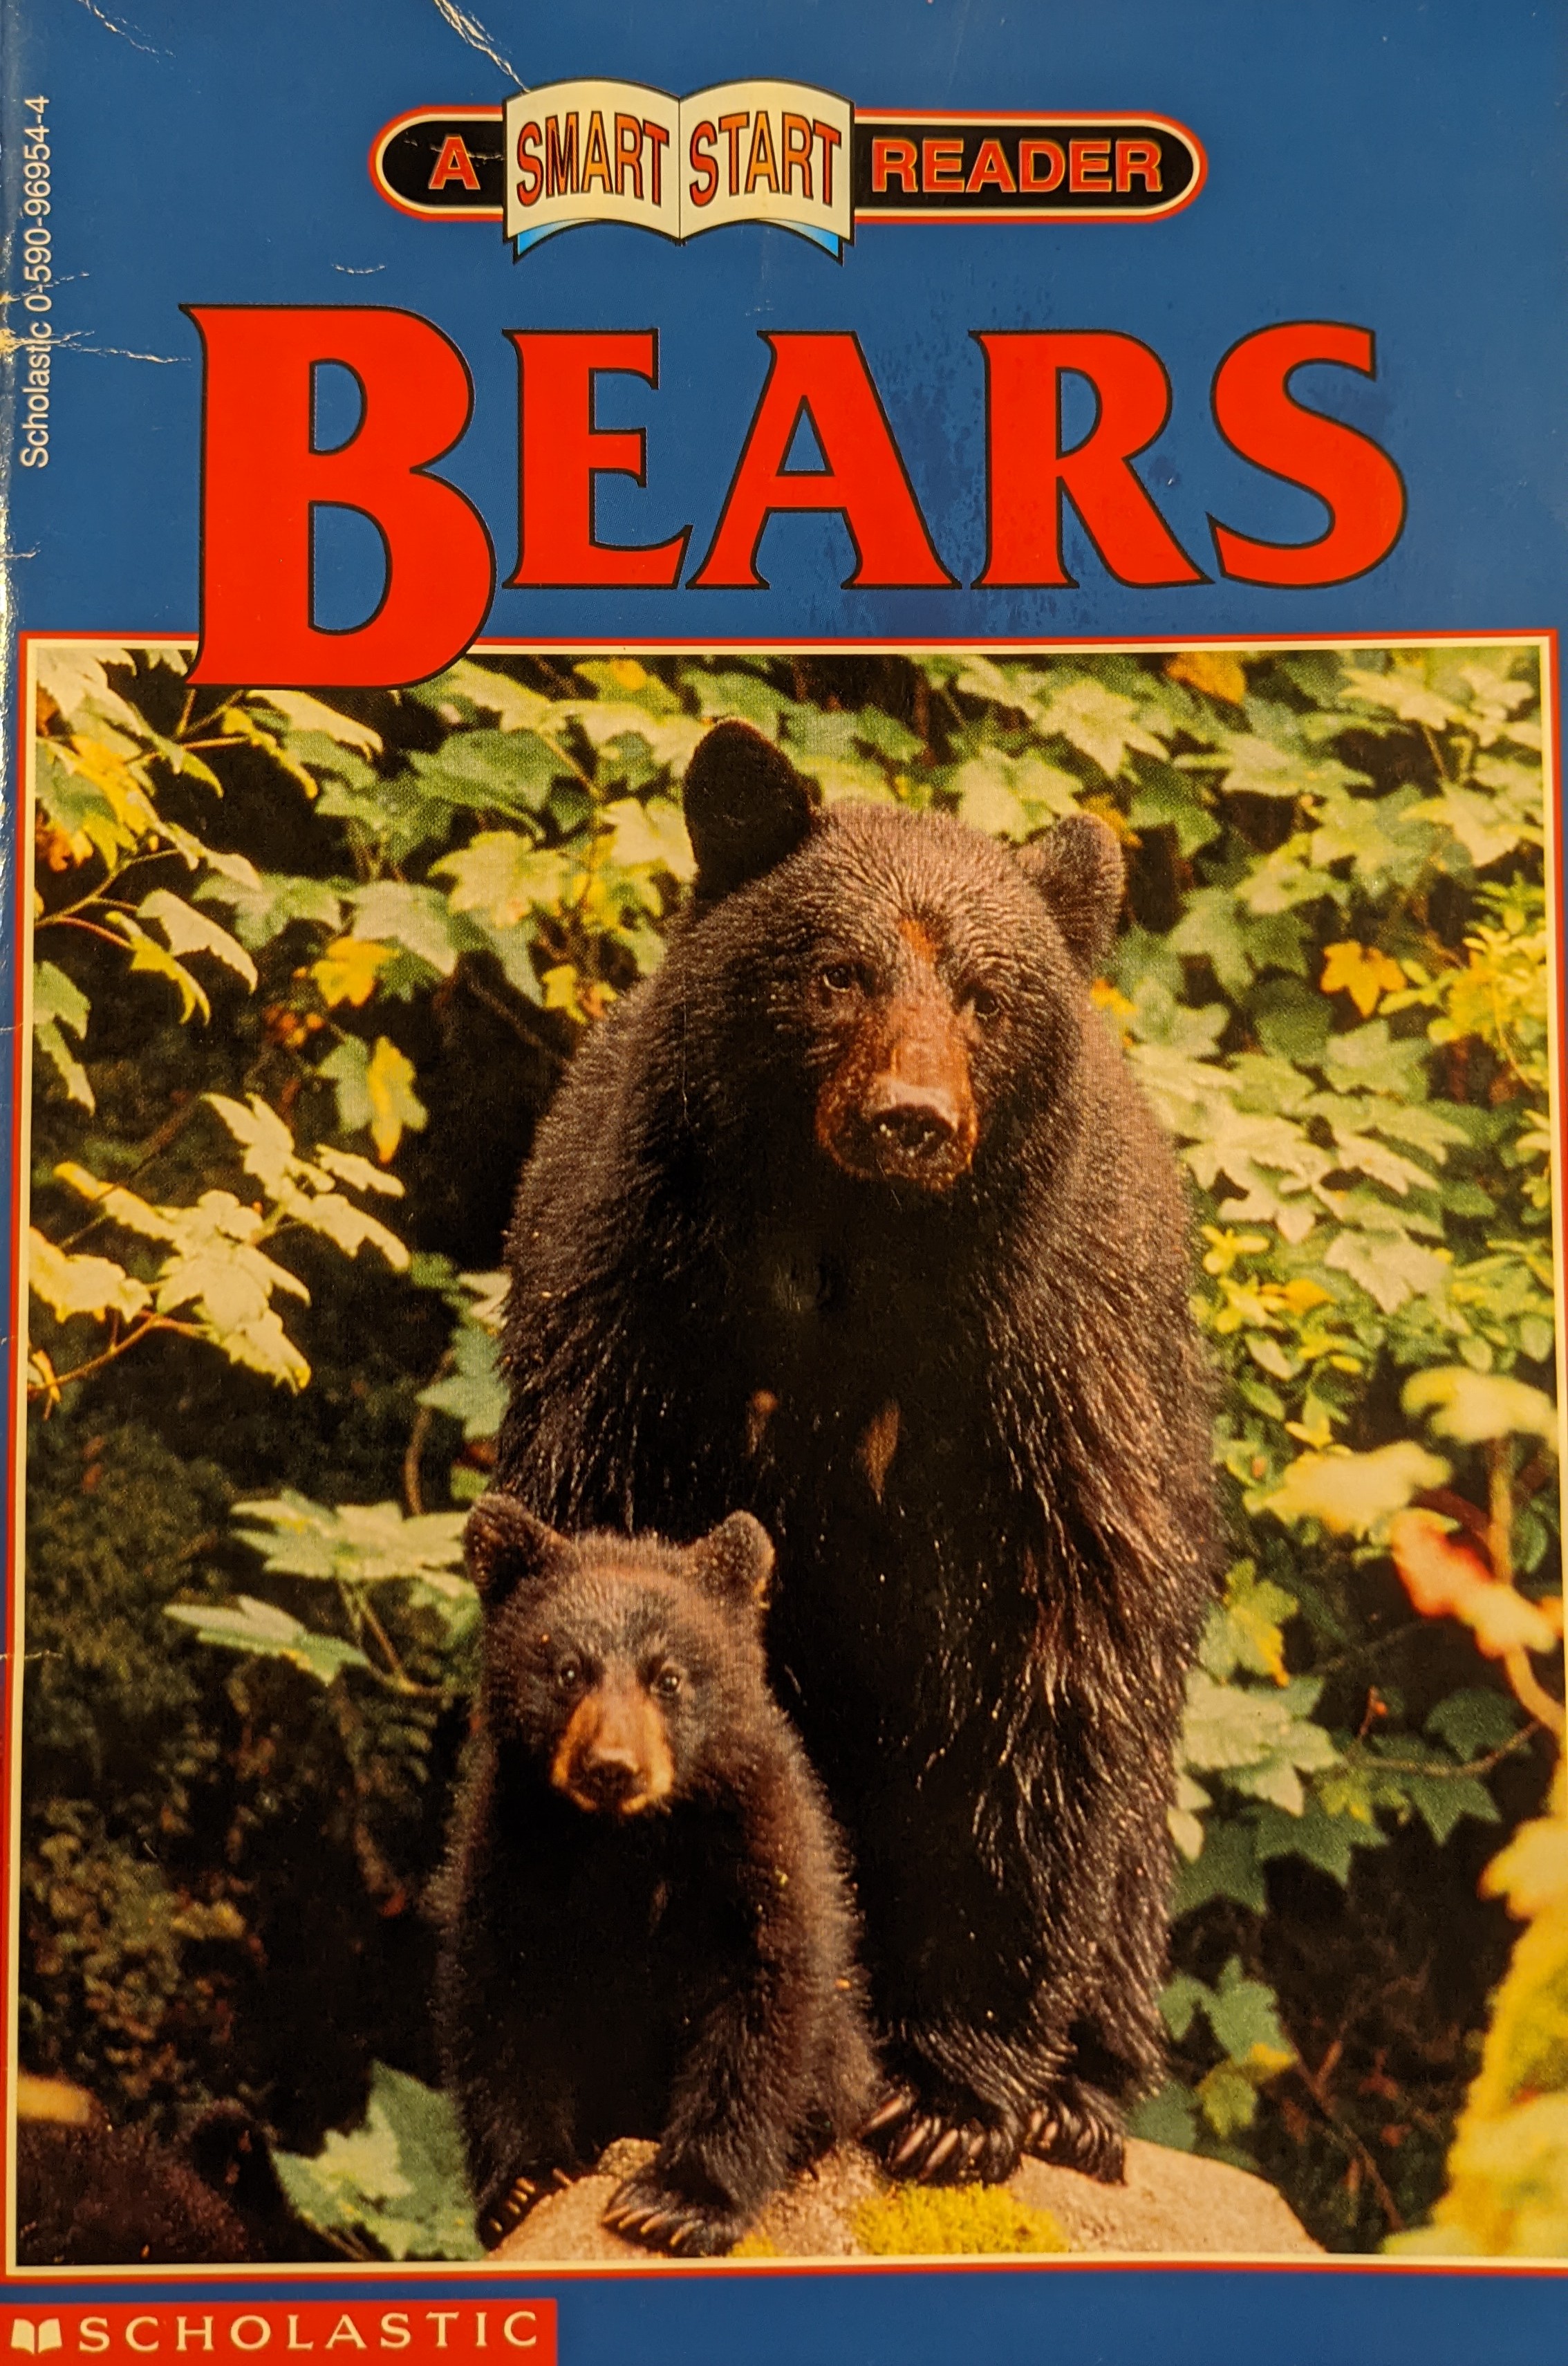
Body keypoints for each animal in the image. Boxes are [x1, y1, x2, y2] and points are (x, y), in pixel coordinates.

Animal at [433, 1493, 876, 2257]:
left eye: (667, 1676)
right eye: (568, 1669)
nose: (612, 1767)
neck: (626, 1840)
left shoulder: (758, 1845)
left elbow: (765, 2003)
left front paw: (674, 2202)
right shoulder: (513, 1847)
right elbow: (501, 1997)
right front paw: (525, 2181)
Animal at [496, 719, 1218, 2189]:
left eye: (986, 998)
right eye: (837, 973)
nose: (911, 1116)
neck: (859, 1269)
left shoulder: (1047, 1389)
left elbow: (1042, 1682)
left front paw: (949, 2095)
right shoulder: (631, 1326)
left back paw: (1081, 2093)